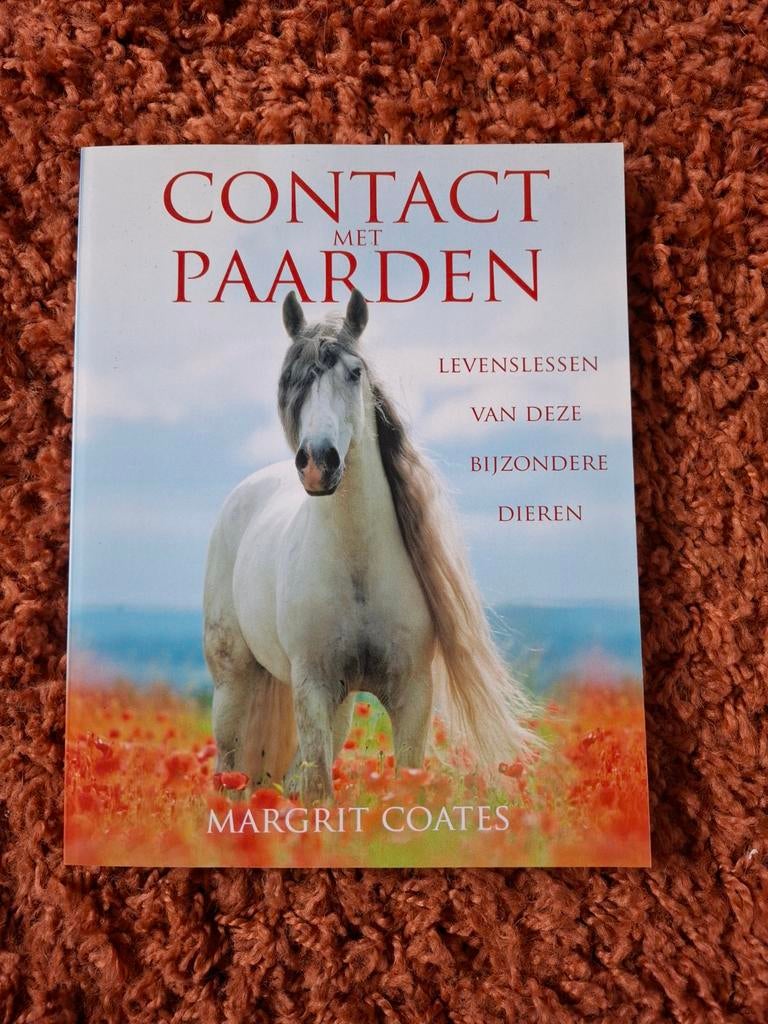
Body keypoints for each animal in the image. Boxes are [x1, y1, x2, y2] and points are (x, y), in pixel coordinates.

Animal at [203, 289, 537, 803]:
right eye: (291, 379)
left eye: (355, 373)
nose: (318, 463)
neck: (357, 565)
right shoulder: (313, 687)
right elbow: (320, 788)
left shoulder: (412, 694)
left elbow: (404, 780)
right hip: (233, 683)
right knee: (230, 768)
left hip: (336, 706)